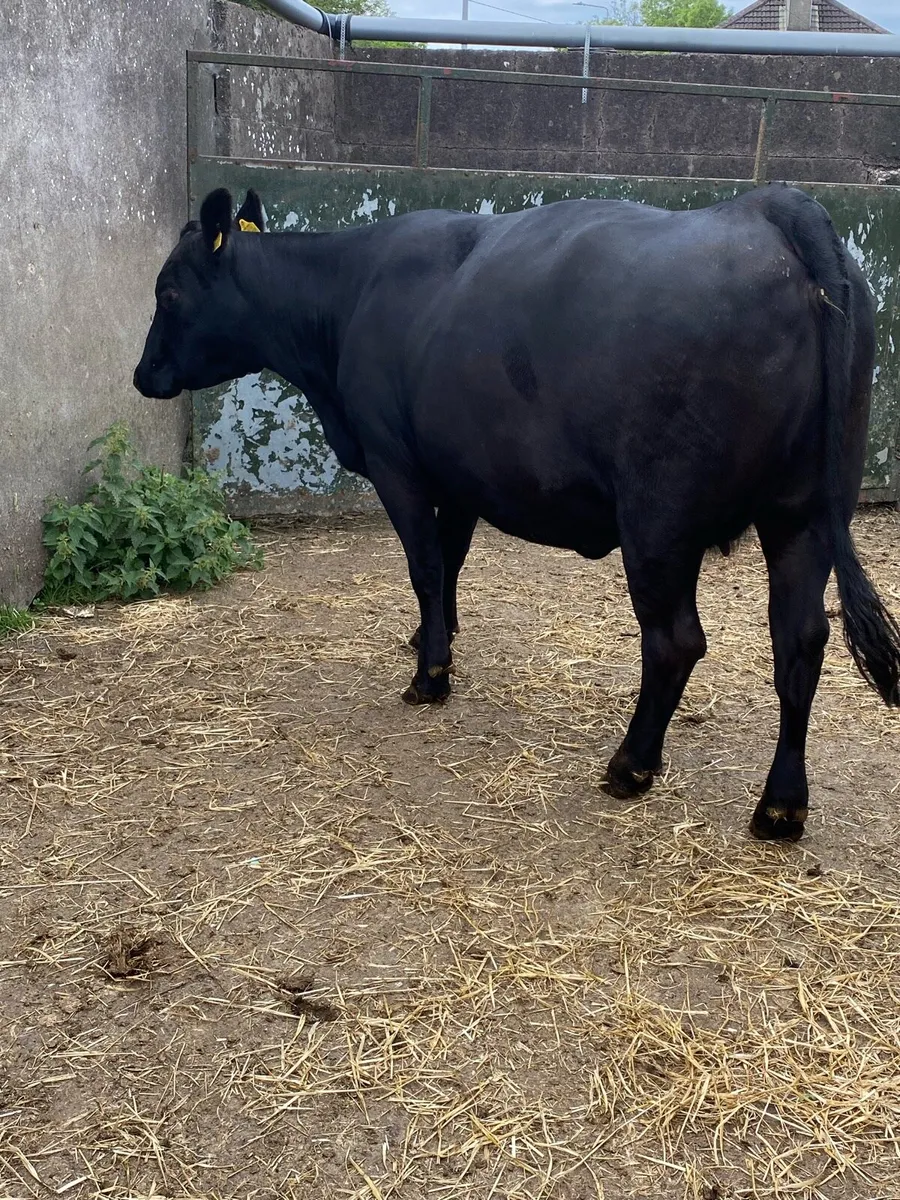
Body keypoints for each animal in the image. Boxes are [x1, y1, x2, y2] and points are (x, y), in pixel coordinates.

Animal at [134, 184, 900, 842]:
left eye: (168, 292)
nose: (143, 375)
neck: (349, 295)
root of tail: (773, 208)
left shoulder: (395, 462)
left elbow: (423, 564)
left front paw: (430, 676)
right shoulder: (457, 472)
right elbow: (449, 563)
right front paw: (431, 638)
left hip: (660, 518)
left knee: (676, 640)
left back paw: (631, 765)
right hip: (804, 515)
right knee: (799, 642)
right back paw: (780, 807)